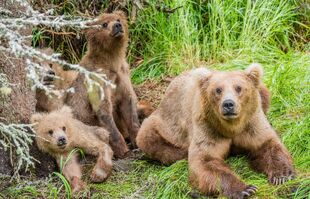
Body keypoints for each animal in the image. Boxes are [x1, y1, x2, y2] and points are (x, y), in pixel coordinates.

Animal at [67, 10, 140, 158]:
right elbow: (103, 109)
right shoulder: (98, 79)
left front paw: (136, 139)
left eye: (118, 19)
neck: (112, 61)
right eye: (104, 24)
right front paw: (123, 149)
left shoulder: (123, 75)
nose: (117, 26)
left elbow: (129, 102)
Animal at [137, 64, 294, 199]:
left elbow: (267, 144)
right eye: (218, 90)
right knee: (151, 140)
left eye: (239, 88)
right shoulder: (208, 128)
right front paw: (246, 189)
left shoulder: (251, 123)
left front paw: (282, 175)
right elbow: (206, 160)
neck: (232, 127)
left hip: (262, 92)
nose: (228, 104)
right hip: (163, 124)